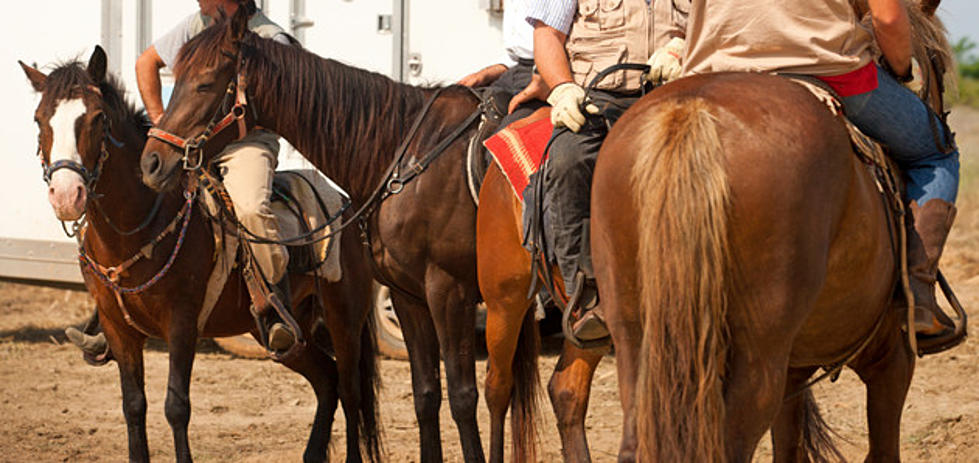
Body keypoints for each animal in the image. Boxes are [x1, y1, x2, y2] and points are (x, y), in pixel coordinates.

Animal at [138, 10, 490, 463]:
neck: (406, 154)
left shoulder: (452, 292)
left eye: (204, 83)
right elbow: (427, 394)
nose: (151, 162)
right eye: (175, 77)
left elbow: (463, 396)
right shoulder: (410, 296)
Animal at [588, 1, 956, 462]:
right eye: (937, 62)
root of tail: (691, 112)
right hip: (758, 354)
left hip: (636, 335)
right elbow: (883, 449)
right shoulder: (892, 358)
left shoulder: (795, 371)